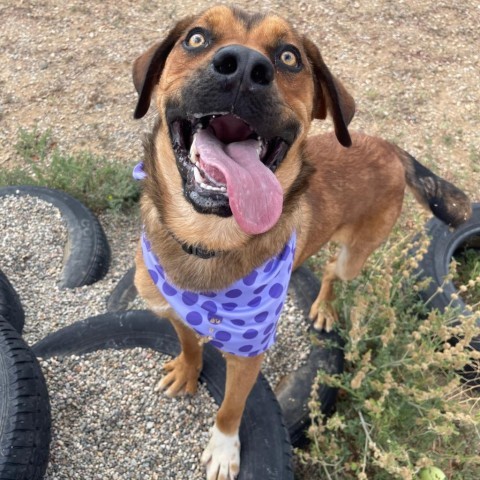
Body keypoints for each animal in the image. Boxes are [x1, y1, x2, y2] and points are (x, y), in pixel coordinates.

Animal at [129, 4, 470, 480]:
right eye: (196, 38)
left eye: (289, 57)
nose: (244, 68)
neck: (206, 242)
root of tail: (388, 147)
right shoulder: (168, 309)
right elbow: (187, 340)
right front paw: (188, 369)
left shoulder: (247, 355)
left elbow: (231, 409)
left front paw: (224, 449)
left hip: (355, 254)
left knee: (332, 269)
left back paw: (324, 308)